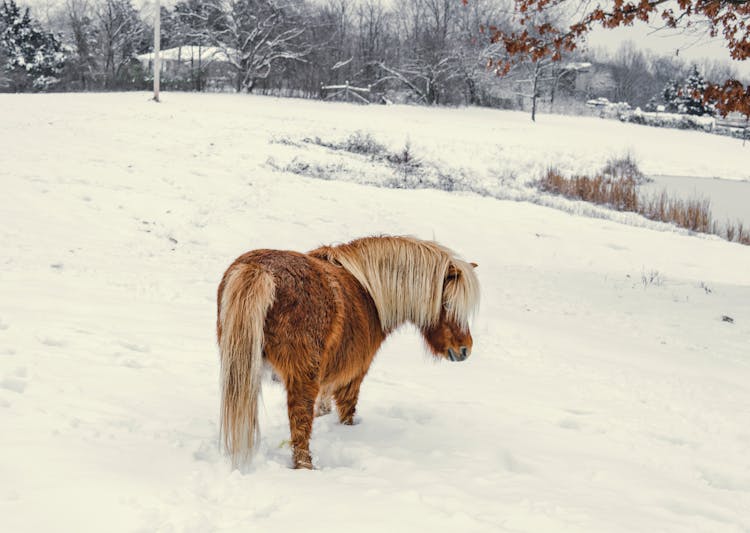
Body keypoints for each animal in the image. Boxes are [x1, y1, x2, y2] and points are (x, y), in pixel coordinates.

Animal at [216, 235, 482, 468]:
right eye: (447, 303)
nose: (464, 349)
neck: (369, 293)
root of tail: (259, 270)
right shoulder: (353, 375)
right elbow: (347, 413)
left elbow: (323, 406)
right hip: (301, 378)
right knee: (300, 426)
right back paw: (306, 466)